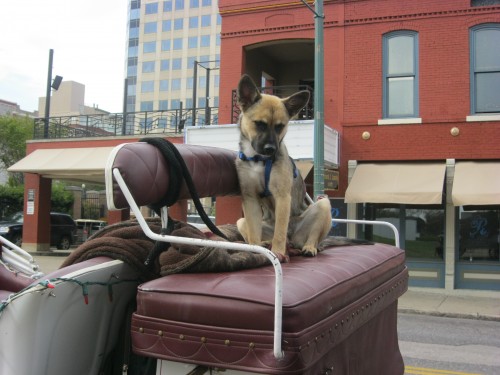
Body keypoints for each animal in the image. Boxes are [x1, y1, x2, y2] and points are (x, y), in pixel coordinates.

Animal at [234, 74, 332, 262]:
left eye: (280, 126)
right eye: (259, 124)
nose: (271, 149)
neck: (259, 159)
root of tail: (292, 239)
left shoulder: (282, 196)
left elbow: (279, 232)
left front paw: (278, 252)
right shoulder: (249, 199)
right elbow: (253, 231)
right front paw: (255, 249)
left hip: (323, 205)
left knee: (309, 236)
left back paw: (309, 247)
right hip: (240, 221)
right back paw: (264, 244)